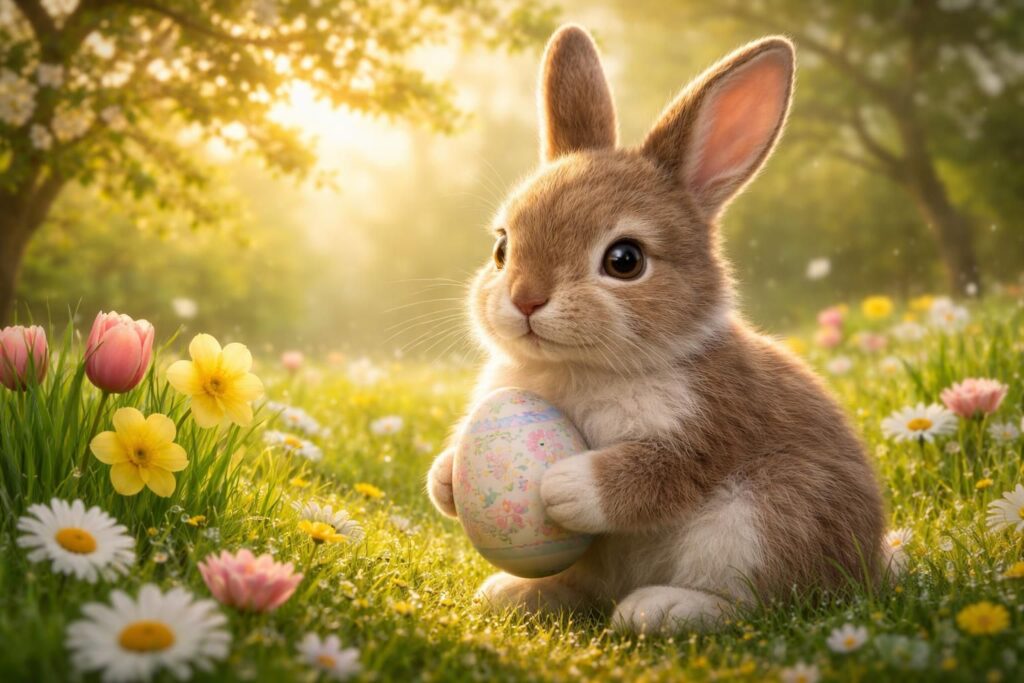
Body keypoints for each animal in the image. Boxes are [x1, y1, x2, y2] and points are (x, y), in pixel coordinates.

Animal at [426, 24, 885, 634]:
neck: (578, 367)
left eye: (625, 260)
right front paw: (445, 477)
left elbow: (652, 476)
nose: (525, 298)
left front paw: (560, 485)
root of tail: (869, 565)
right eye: (501, 248)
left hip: (764, 519)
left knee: (757, 600)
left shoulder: (707, 428)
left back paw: (661, 608)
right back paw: (514, 593)